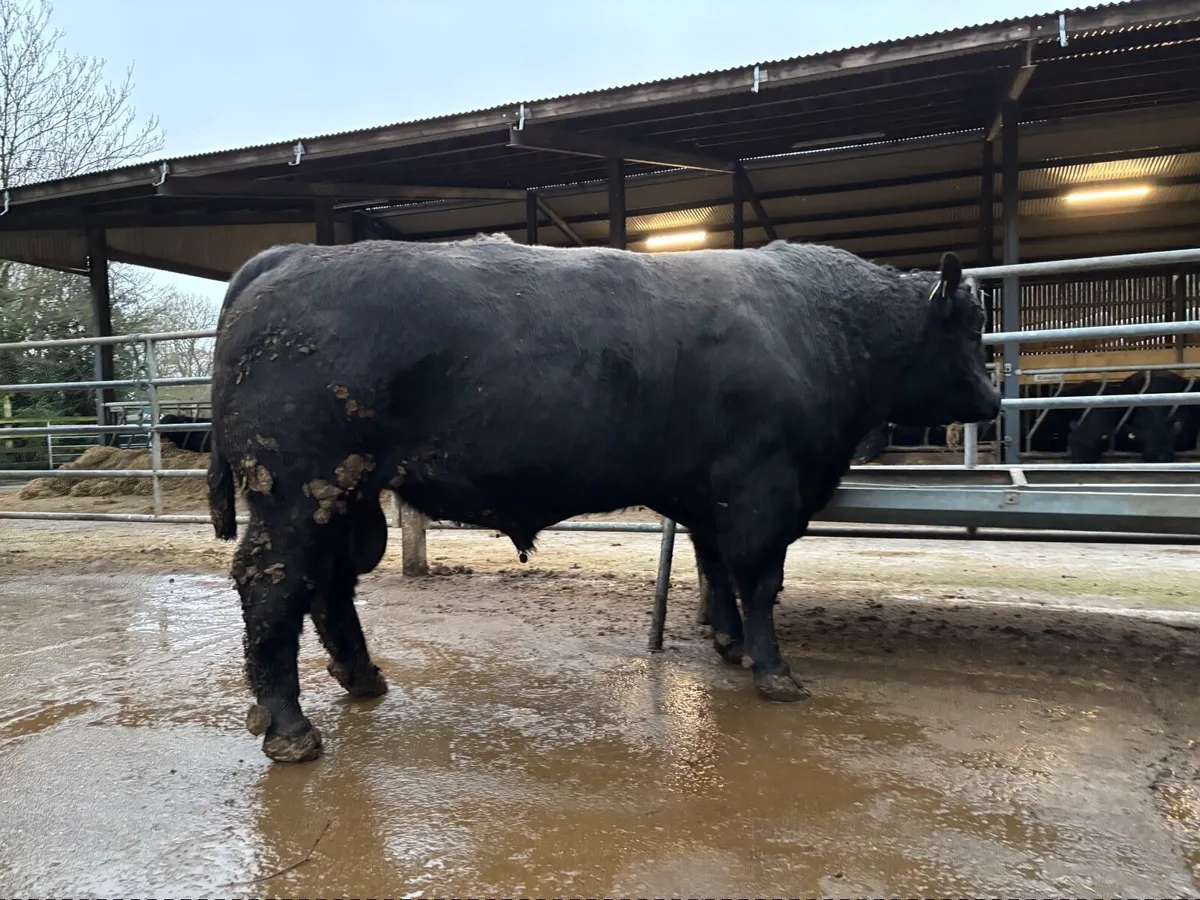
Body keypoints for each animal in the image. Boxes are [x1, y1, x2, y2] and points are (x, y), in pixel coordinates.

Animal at [206, 237, 1001, 763]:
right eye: (970, 329)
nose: (994, 402)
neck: (819, 327)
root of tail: (290, 256)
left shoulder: (710, 495)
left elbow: (717, 570)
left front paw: (729, 646)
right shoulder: (763, 492)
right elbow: (759, 579)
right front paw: (775, 672)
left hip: (344, 496)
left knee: (328, 585)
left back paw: (363, 678)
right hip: (298, 490)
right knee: (272, 585)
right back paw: (290, 729)